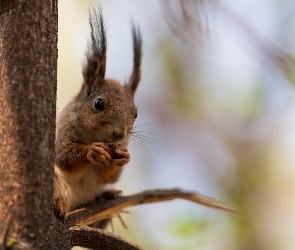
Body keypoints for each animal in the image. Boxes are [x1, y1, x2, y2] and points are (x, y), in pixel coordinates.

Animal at [53, 6, 143, 220]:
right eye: (99, 103)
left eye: (135, 114)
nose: (119, 134)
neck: (94, 136)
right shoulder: (63, 131)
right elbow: (64, 157)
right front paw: (92, 151)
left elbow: (109, 177)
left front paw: (125, 158)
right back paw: (58, 204)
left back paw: (108, 194)